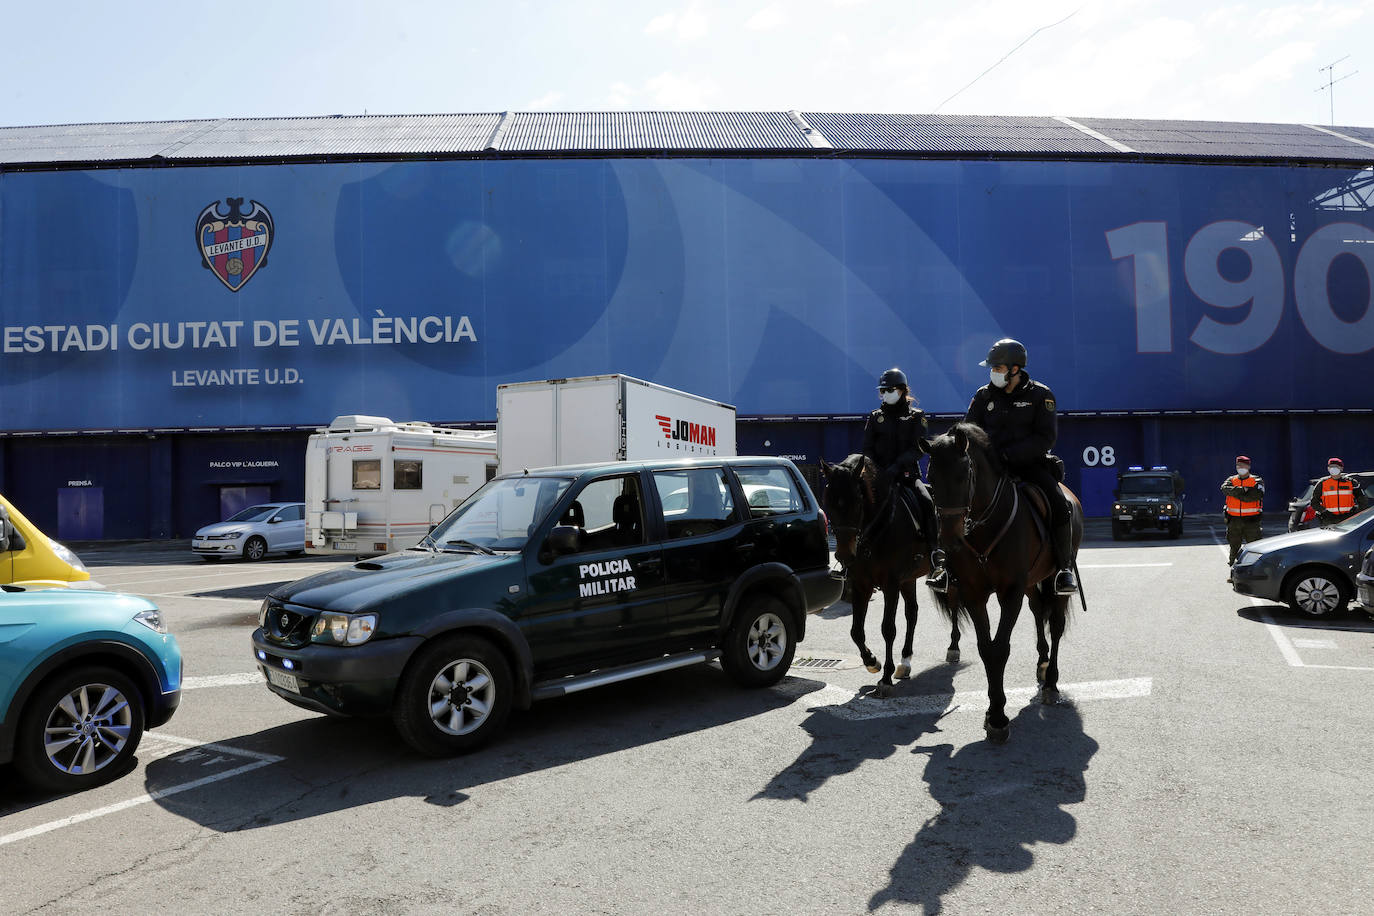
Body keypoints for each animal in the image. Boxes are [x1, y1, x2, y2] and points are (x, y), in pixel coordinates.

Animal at [818, 455, 961, 697]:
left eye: (857, 502)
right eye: (828, 502)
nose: (844, 554)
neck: (879, 527)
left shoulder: (890, 584)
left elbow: (888, 629)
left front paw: (885, 678)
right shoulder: (861, 584)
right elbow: (856, 631)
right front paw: (871, 661)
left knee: (953, 603)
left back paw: (953, 647)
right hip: (909, 579)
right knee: (912, 613)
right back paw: (905, 662)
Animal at [923, 425, 1082, 741]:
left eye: (963, 476)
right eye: (931, 479)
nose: (949, 539)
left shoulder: (1010, 592)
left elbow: (1000, 648)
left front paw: (997, 716)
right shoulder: (973, 593)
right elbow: (987, 648)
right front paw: (993, 711)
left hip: (1056, 580)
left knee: (1056, 625)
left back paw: (1051, 683)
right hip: (1033, 581)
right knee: (1038, 611)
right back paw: (1042, 662)